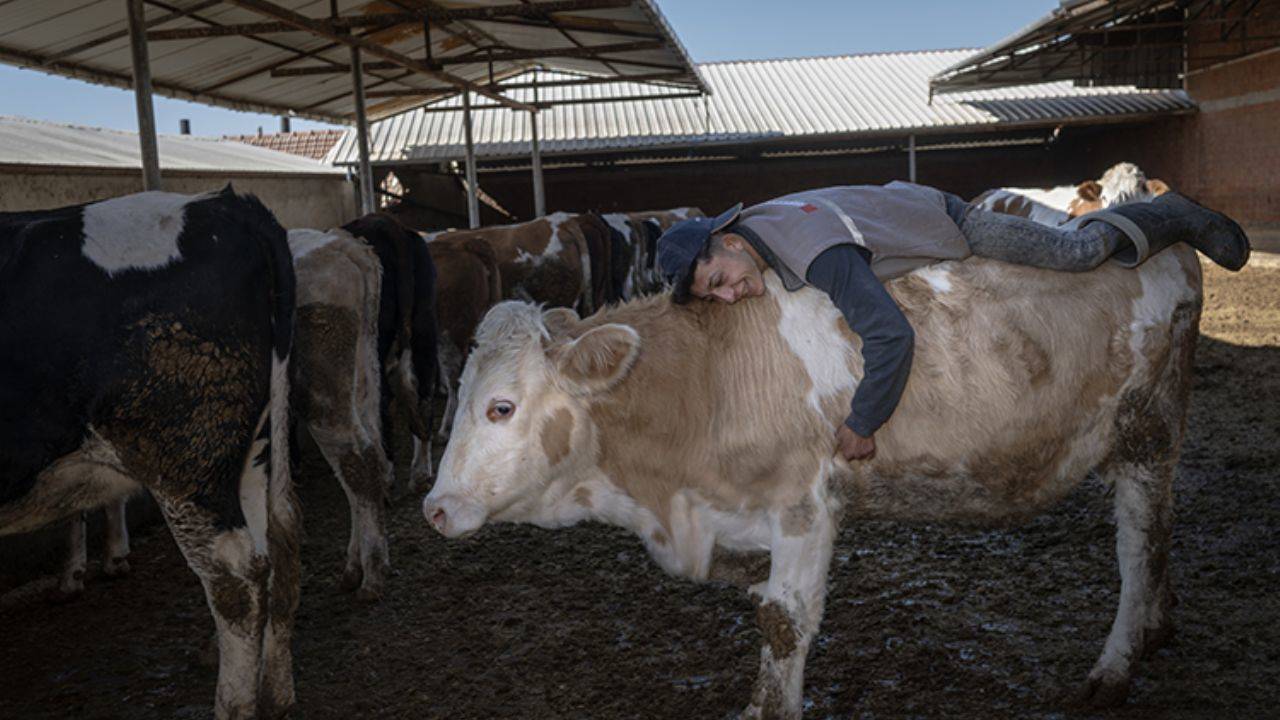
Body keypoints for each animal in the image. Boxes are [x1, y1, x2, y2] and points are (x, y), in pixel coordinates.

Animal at [1, 188, 299, 712]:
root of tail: (223, 203)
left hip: (185, 458)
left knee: (237, 581)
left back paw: (233, 705)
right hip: (251, 453)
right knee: (277, 550)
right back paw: (278, 696)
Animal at [424, 243, 1203, 712]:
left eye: (501, 407)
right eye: (457, 396)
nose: (434, 508)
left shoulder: (803, 502)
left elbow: (784, 620)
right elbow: (762, 597)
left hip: (1145, 433)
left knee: (1141, 542)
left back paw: (1116, 664)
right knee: (1162, 535)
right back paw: (1158, 626)